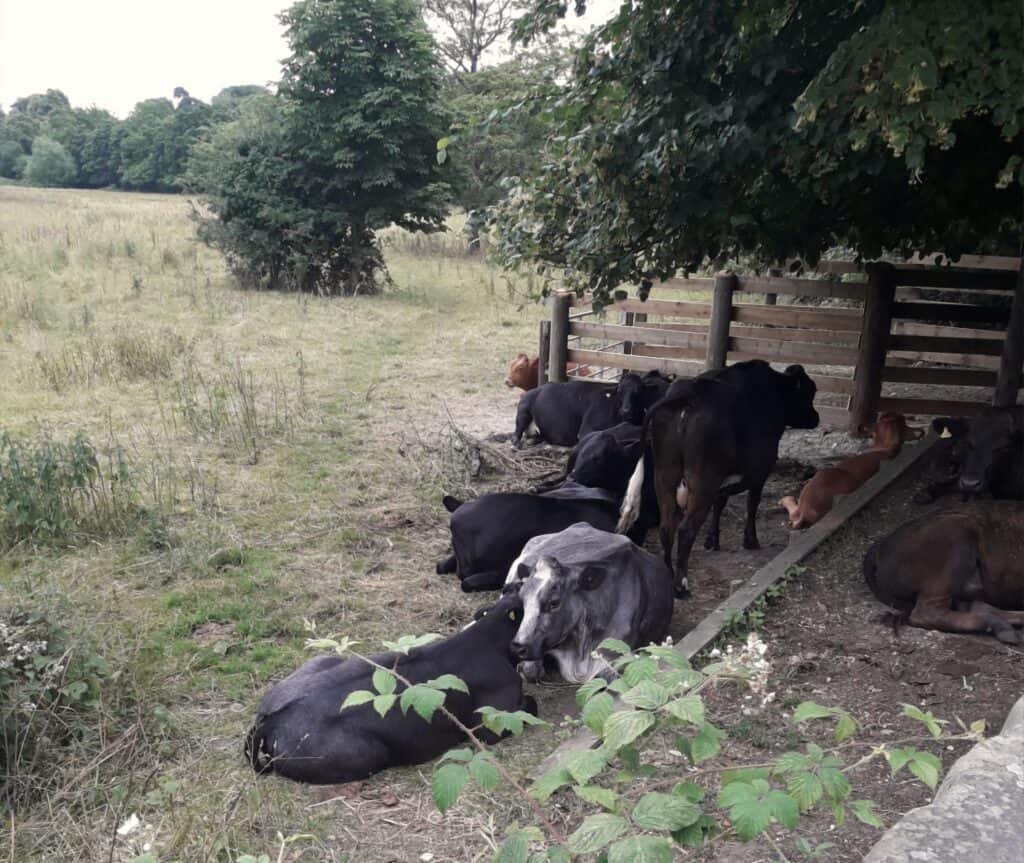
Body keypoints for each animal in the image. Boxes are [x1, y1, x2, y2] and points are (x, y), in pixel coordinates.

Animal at [245, 593, 536, 782]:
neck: (487, 636)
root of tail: (270, 721)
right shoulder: (496, 722)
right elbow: (530, 707)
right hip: (367, 754)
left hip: (322, 660)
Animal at [610, 360, 819, 597]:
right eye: (809, 391)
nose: (816, 417)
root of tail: (686, 394)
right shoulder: (760, 469)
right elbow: (751, 504)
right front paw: (750, 540)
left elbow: (720, 503)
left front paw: (712, 540)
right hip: (702, 480)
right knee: (685, 529)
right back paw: (681, 585)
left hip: (664, 475)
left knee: (667, 527)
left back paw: (668, 573)